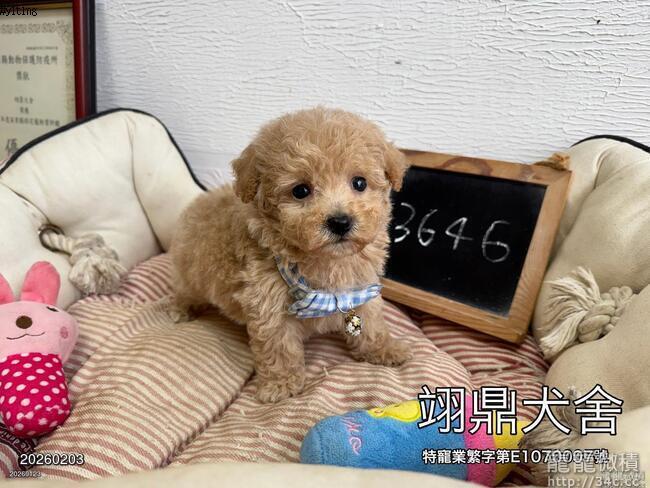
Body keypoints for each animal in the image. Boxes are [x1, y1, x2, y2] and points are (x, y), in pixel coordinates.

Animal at [170, 107, 412, 403]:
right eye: (300, 190)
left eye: (359, 182)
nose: (340, 221)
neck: (326, 262)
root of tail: (197, 203)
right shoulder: (267, 303)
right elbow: (279, 346)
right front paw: (281, 384)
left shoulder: (362, 286)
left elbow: (372, 321)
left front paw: (385, 349)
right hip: (189, 273)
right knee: (184, 290)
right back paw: (180, 309)